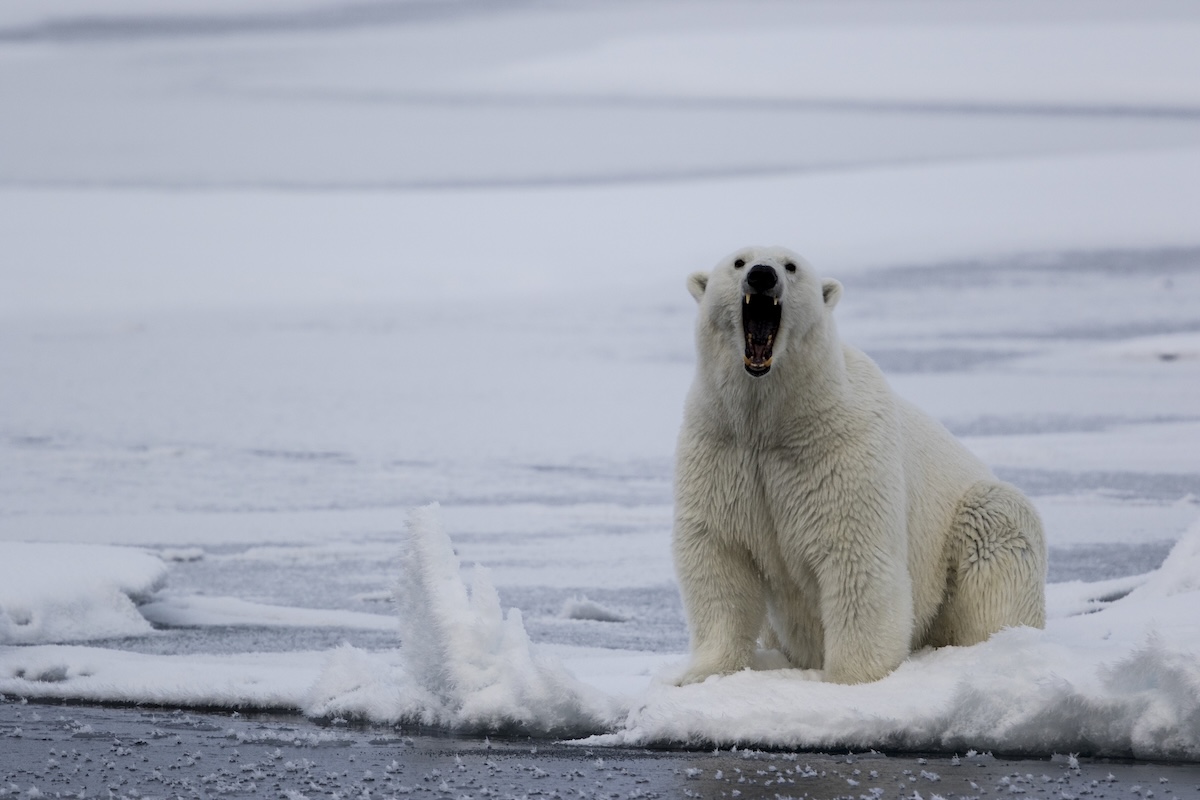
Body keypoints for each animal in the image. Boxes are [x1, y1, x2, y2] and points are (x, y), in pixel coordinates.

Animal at [673, 245, 1046, 686]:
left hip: (970, 522)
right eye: (738, 262)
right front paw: (699, 674)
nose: (762, 276)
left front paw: (851, 678)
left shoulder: (840, 450)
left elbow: (856, 556)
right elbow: (719, 557)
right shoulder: (722, 449)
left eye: (791, 266)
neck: (774, 419)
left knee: (996, 539)